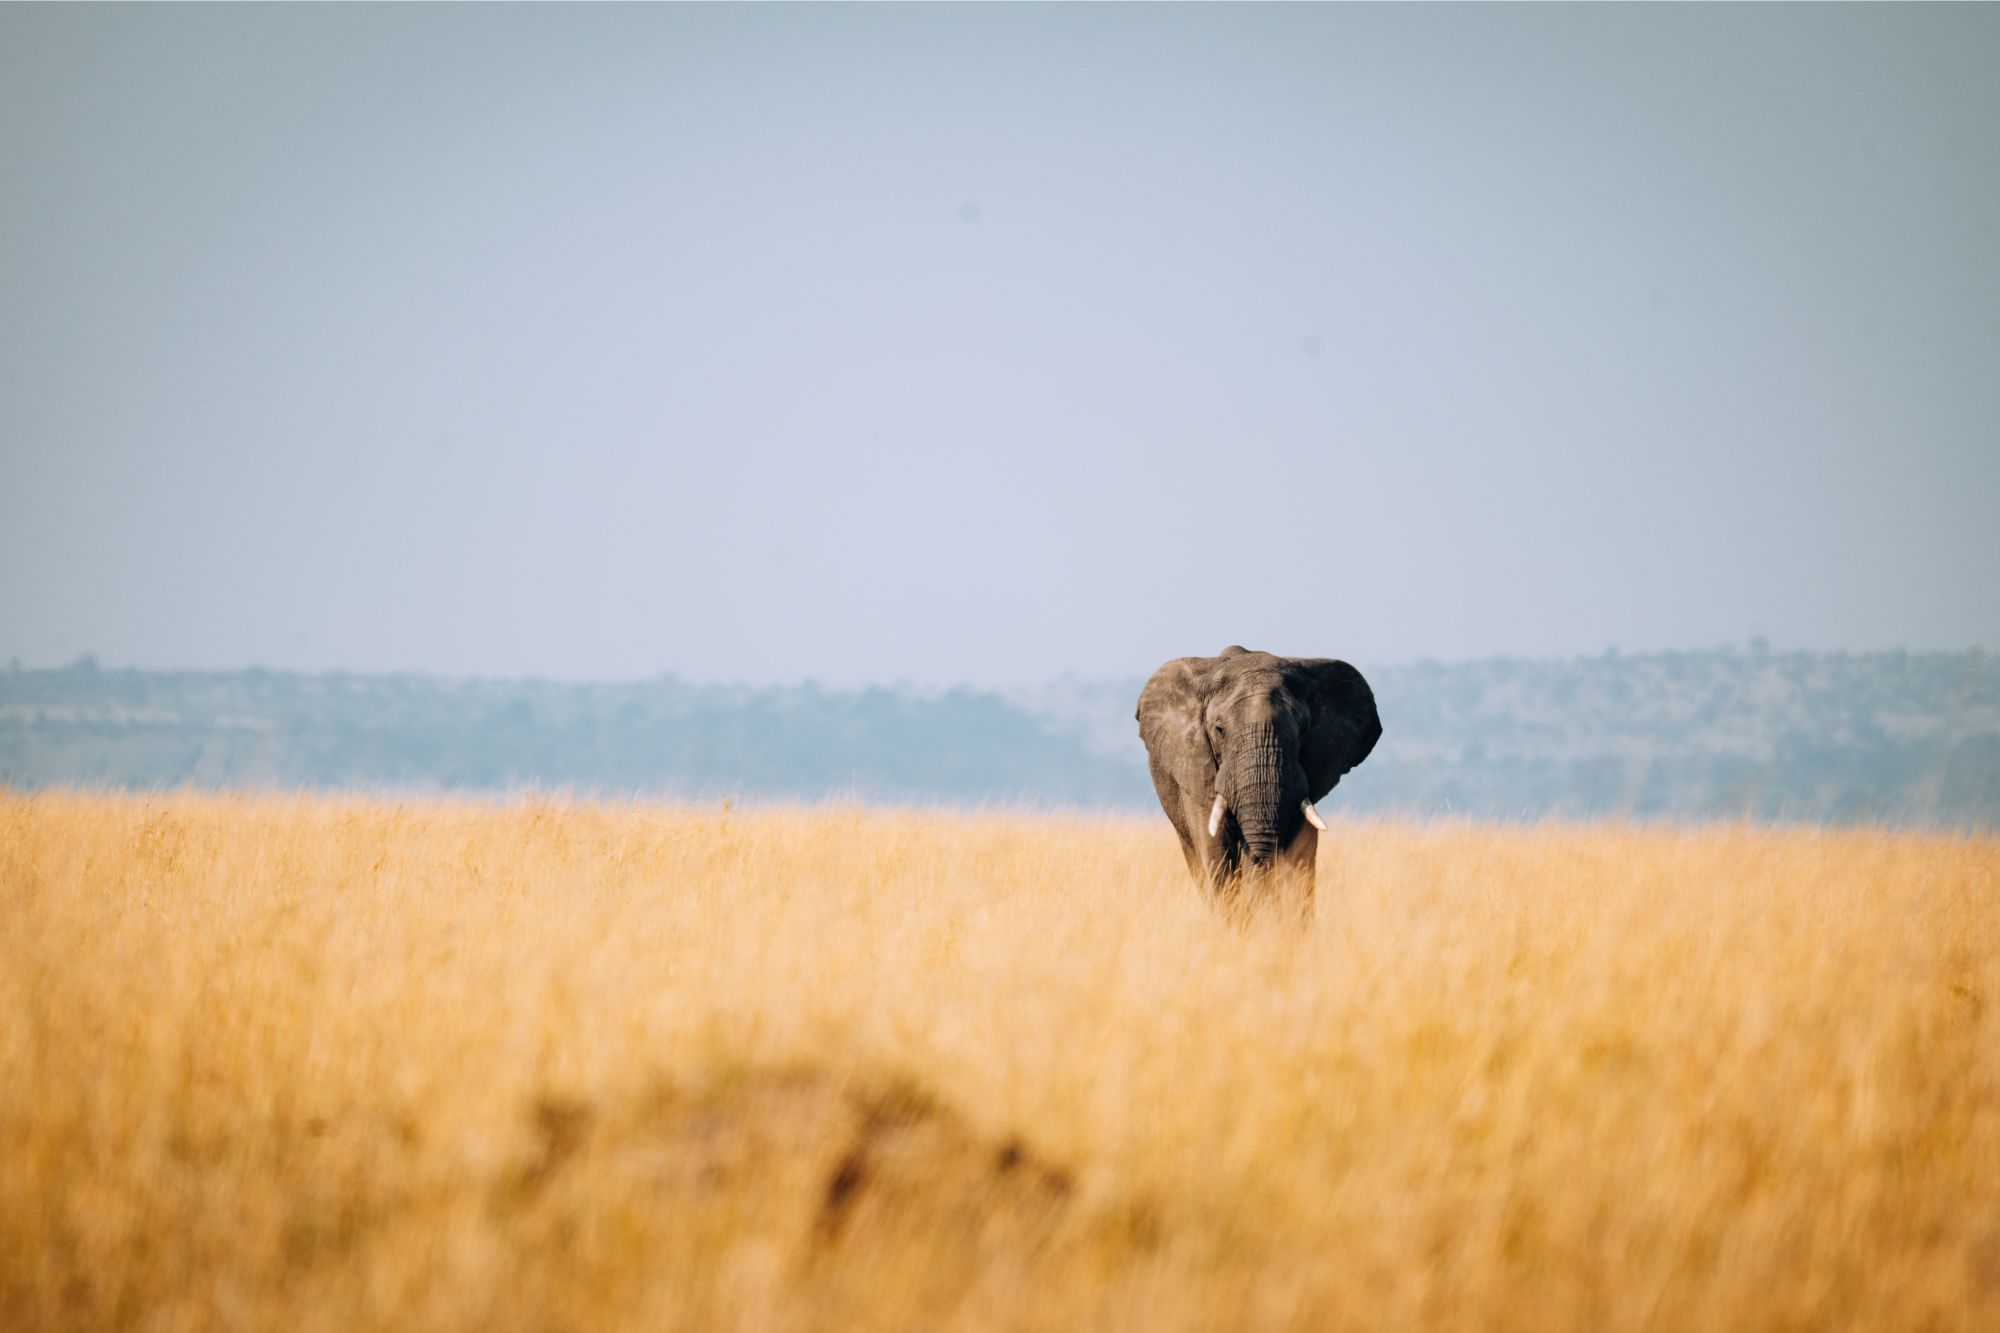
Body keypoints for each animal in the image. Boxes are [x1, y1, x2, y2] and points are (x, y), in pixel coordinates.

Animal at [1136, 646, 1381, 911]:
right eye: (1219, 730)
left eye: (1304, 729)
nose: (1256, 857)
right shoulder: (1195, 769)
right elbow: (1215, 850)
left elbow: (1302, 856)